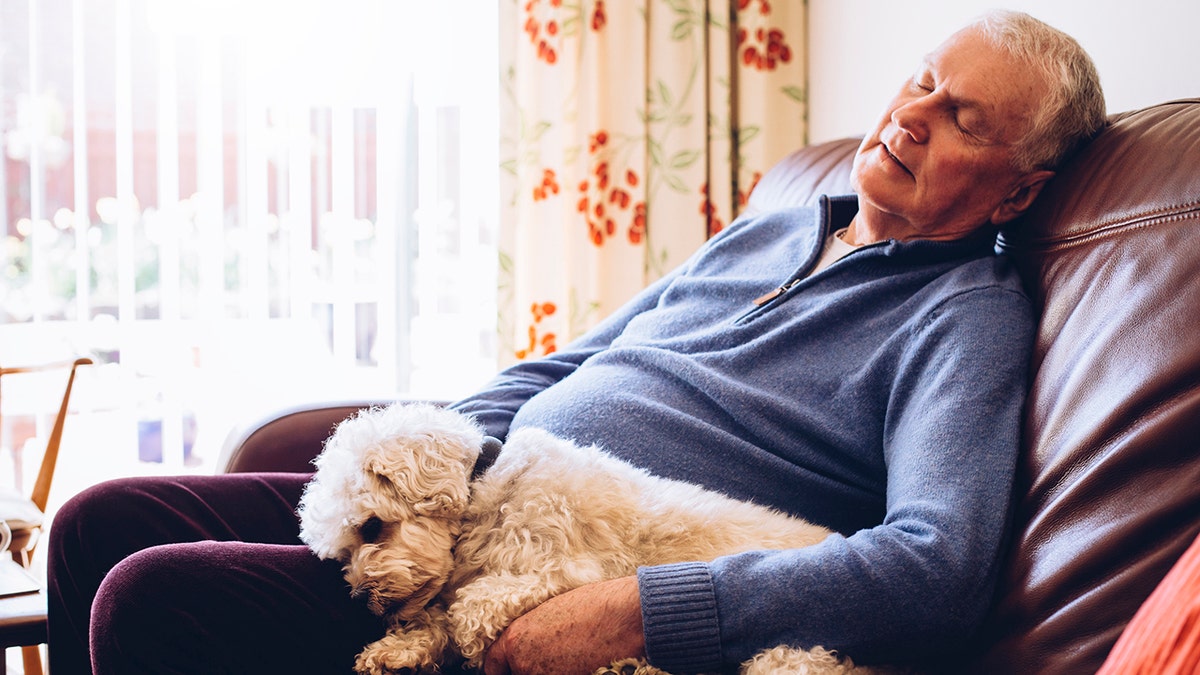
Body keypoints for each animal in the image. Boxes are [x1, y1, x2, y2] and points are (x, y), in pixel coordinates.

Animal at [296, 401, 897, 667]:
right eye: (342, 554)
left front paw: (462, 635)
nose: (364, 599)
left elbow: (472, 607)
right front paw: (398, 648)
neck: (486, 494)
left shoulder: (566, 567)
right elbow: (437, 614)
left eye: (372, 525)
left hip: (789, 656)